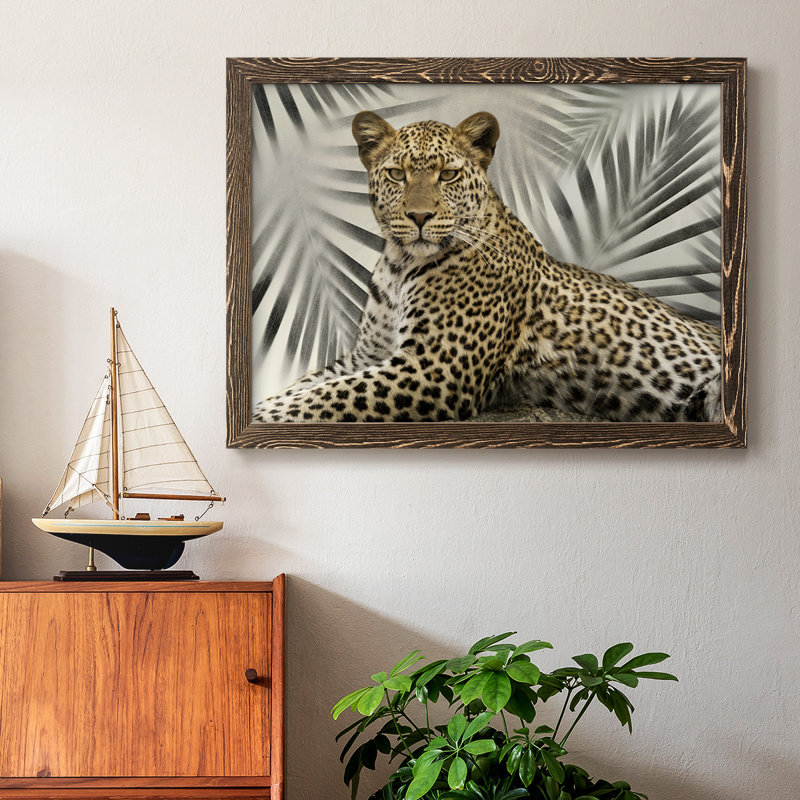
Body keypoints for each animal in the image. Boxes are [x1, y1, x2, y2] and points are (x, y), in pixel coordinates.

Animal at [254, 110, 721, 424]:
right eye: (396, 174)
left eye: (447, 175)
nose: (419, 216)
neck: (400, 264)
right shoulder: (366, 355)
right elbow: (308, 386)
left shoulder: (435, 369)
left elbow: (319, 398)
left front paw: (263, 414)